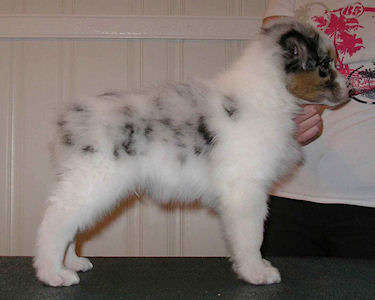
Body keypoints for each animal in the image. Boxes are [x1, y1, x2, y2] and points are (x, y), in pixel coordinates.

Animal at [33, 18, 352, 286]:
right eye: (325, 66)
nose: (350, 89)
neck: (269, 94)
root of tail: (69, 120)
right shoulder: (245, 190)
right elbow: (252, 236)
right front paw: (256, 272)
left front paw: (256, 267)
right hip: (94, 181)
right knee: (55, 221)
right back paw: (53, 273)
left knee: (70, 223)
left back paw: (71, 262)